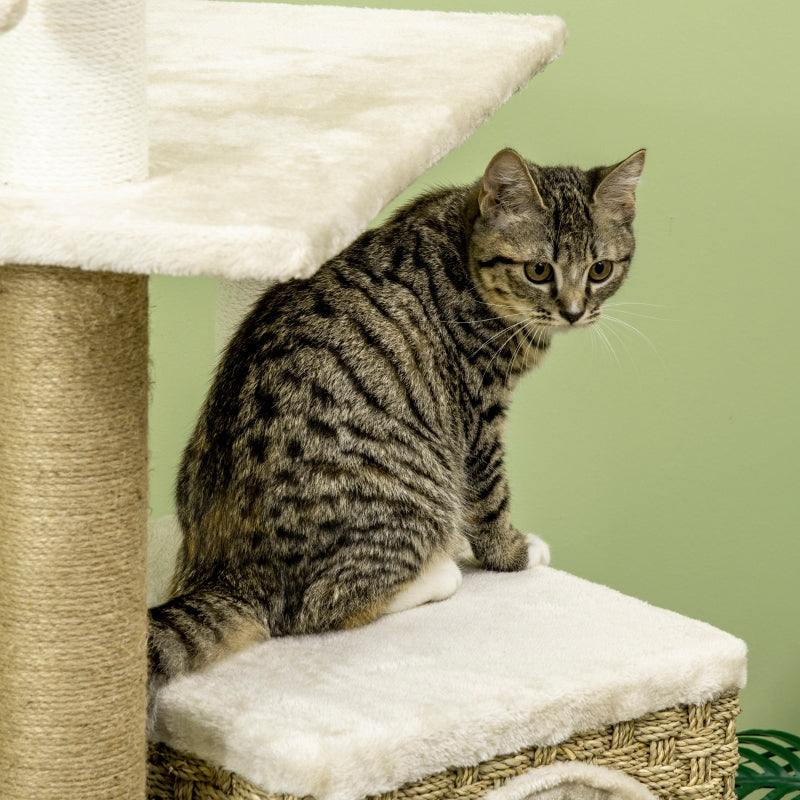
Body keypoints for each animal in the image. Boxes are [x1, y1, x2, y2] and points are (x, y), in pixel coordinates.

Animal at [147, 147, 648, 704]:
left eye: (601, 269)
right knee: (314, 608)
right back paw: (438, 574)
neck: (462, 249)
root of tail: (227, 573)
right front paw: (513, 552)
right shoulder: (476, 412)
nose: (575, 311)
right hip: (409, 495)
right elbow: (490, 495)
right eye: (539, 270)